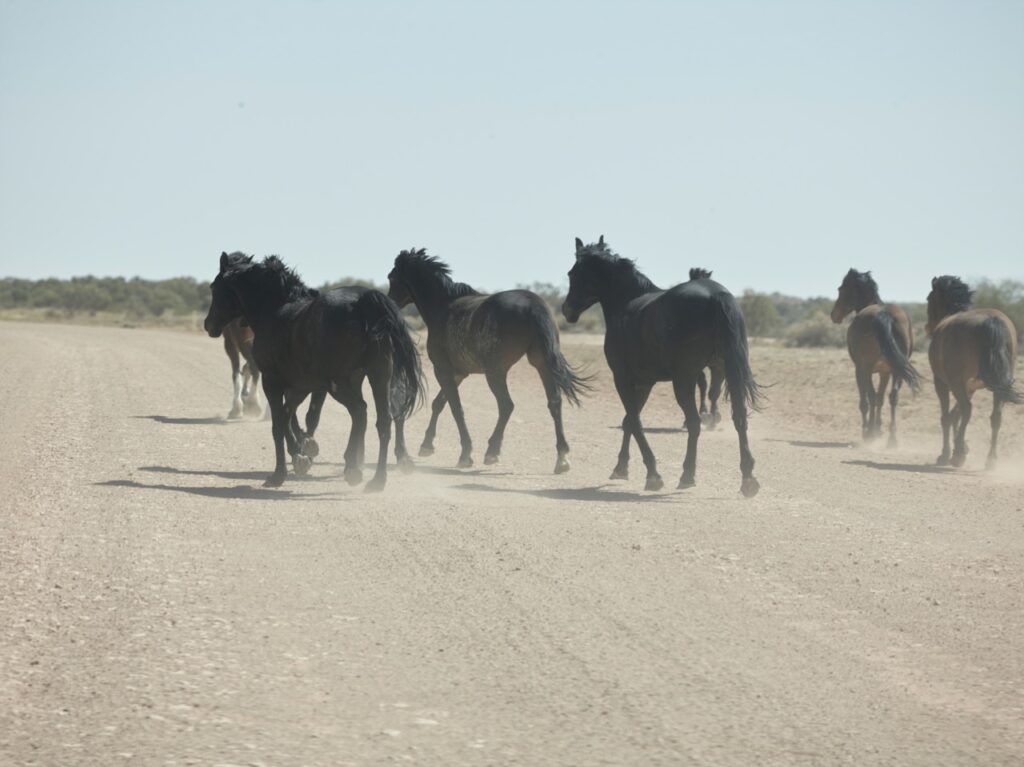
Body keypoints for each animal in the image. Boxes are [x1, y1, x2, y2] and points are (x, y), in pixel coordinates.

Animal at [204, 252, 424, 491]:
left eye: (214, 287)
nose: (208, 325)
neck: (274, 311)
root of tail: (365, 301)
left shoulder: (272, 381)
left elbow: (279, 423)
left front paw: (280, 472)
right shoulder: (302, 386)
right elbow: (290, 416)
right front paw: (302, 452)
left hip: (340, 383)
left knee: (360, 411)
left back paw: (353, 469)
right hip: (378, 376)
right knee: (383, 421)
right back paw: (376, 480)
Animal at [387, 248, 589, 473]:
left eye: (391, 277)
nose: (389, 303)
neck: (443, 307)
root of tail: (534, 306)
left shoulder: (443, 370)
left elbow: (456, 408)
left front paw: (465, 454)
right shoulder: (458, 373)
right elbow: (439, 403)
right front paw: (427, 445)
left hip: (496, 372)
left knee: (507, 405)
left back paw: (492, 452)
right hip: (541, 363)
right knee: (554, 402)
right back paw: (561, 458)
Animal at [562, 237, 760, 497]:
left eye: (573, 273)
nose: (566, 310)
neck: (626, 303)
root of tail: (716, 295)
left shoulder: (622, 378)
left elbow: (635, 421)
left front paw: (652, 474)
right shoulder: (645, 382)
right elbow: (628, 421)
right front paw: (621, 467)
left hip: (685, 380)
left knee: (694, 422)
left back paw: (687, 475)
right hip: (729, 371)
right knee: (739, 417)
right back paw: (747, 478)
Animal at [829, 269, 920, 446]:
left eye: (841, 289)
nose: (834, 315)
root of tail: (884, 314)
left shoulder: (860, 371)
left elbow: (866, 401)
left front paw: (869, 430)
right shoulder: (885, 372)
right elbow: (880, 398)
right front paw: (878, 429)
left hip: (866, 369)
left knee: (871, 397)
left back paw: (870, 433)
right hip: (897, 371)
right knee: (893, 397)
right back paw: (892, 439)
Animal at [926, 275, 1020, 469]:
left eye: (929, 299)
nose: (928, 327)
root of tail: (992, 321)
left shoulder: (942, 383)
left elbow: (947, 416)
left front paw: (947, 453)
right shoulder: (969, 387)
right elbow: (955, 415)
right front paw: (962, 446)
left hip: (955, 383)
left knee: (967, 410)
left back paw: (957, 456)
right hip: (1000, 385)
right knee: (995, 417)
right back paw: (990, 460)